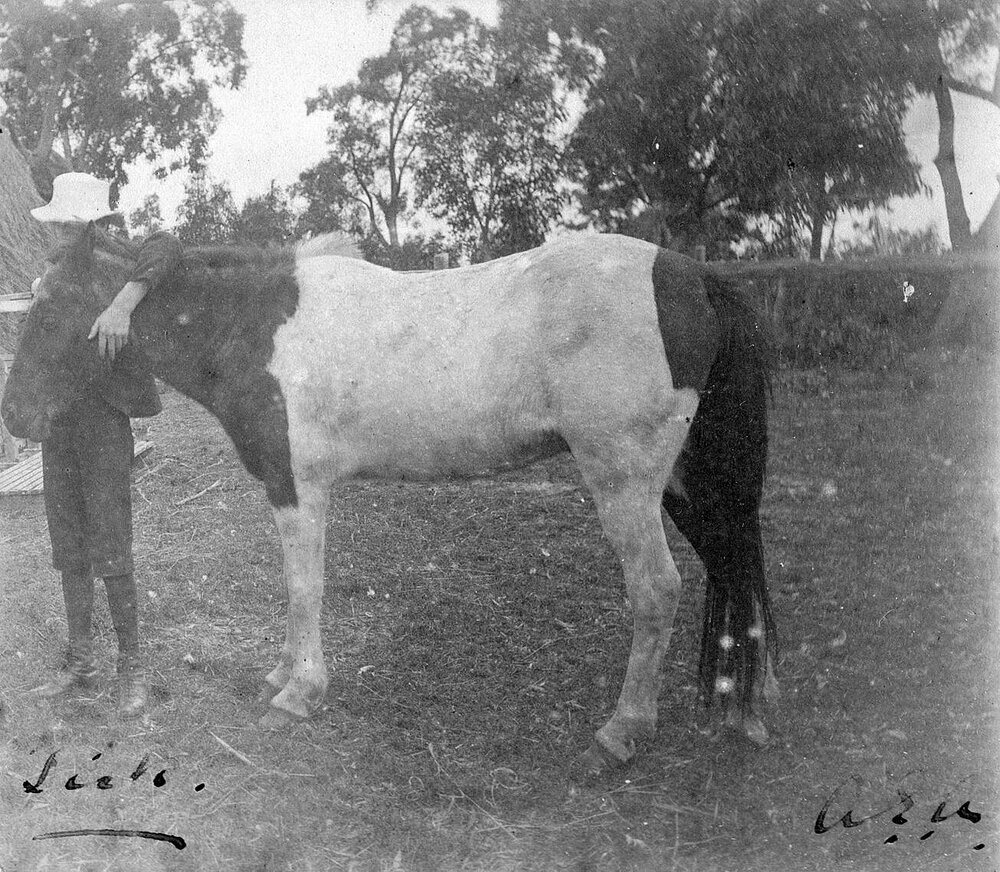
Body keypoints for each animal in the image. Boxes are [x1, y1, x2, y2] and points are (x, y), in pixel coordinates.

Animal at [2, 223, 777, 774]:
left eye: (53, 309)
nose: (15, 416)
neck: (256, 325)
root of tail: (691, 274)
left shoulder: (299, 487)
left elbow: (304, 587)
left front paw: (299, 692)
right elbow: (294, 588)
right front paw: (282, 672)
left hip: (624, 482)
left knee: (658, 589)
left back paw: (622, 732)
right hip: (684, 485)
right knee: (733, 563)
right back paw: (746, 708)